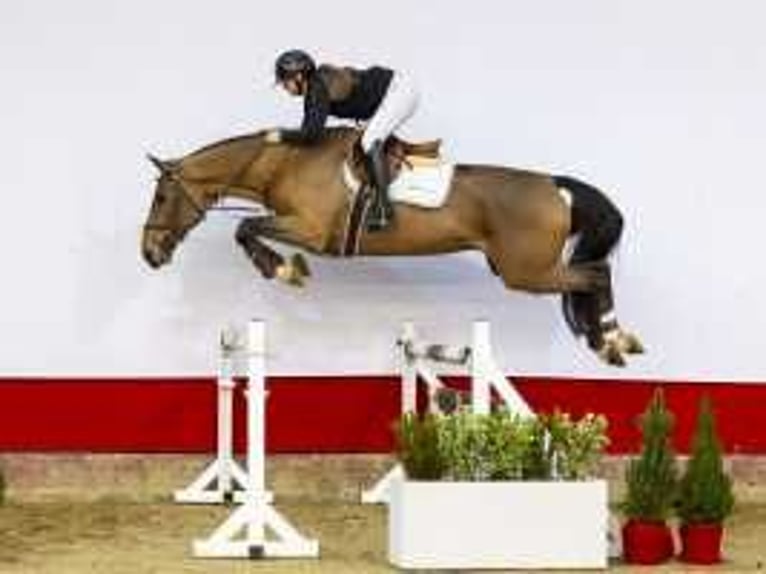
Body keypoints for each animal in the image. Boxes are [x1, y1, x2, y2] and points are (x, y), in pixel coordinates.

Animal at [141, 127, 644, 366]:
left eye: (162, 197)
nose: (149, 254)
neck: (284, 163)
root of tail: (556, 187)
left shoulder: (311, 232)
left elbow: (245, 228)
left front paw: (283, 270)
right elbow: (247, 229)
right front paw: (283, 269)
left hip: (527, 273)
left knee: (594, 274)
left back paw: (611, 340)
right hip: (523, 271)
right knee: (592, 276)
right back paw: (612, 341)